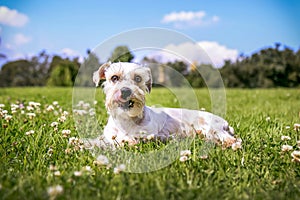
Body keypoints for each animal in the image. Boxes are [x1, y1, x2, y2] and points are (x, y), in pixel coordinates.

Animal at [92, 62, 240, 148]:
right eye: (114, 78)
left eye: (138, 78)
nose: (126, 91)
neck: (125, 119)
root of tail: (225, 123)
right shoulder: (109, 136)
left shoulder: (149, 134)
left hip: (212, 127)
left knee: (233, 140)